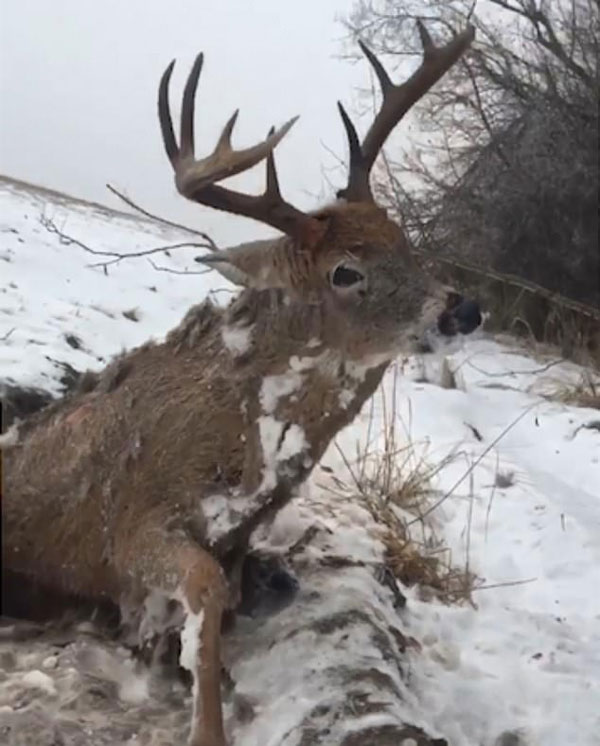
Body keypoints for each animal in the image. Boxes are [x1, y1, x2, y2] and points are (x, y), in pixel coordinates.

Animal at [1, 18, 478, 746]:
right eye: (345, 271)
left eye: (403, 238)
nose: (463, 309)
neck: (240, 452)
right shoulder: (130, 526)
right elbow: (202, 588)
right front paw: (207, 724)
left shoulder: (237, 539)